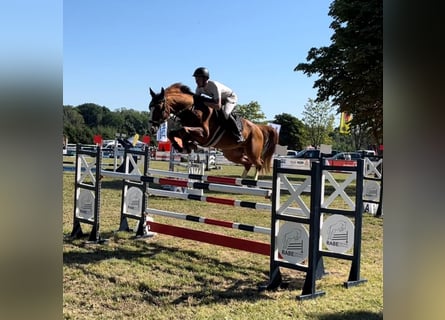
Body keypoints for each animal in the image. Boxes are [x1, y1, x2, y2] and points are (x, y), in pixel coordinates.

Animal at [148, 82, 278, 180]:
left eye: (159, 108)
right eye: (150, 107)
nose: (152, 128)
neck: (192, 109)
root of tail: (258, 128)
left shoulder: (204, 135)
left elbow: (184, 130)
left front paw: (187, 146)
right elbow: (174, 133)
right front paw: (184, 146)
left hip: (252, 151)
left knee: (259, 163)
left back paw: (252, 183)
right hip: (232, 153)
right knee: (247, 163)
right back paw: (242, 181)